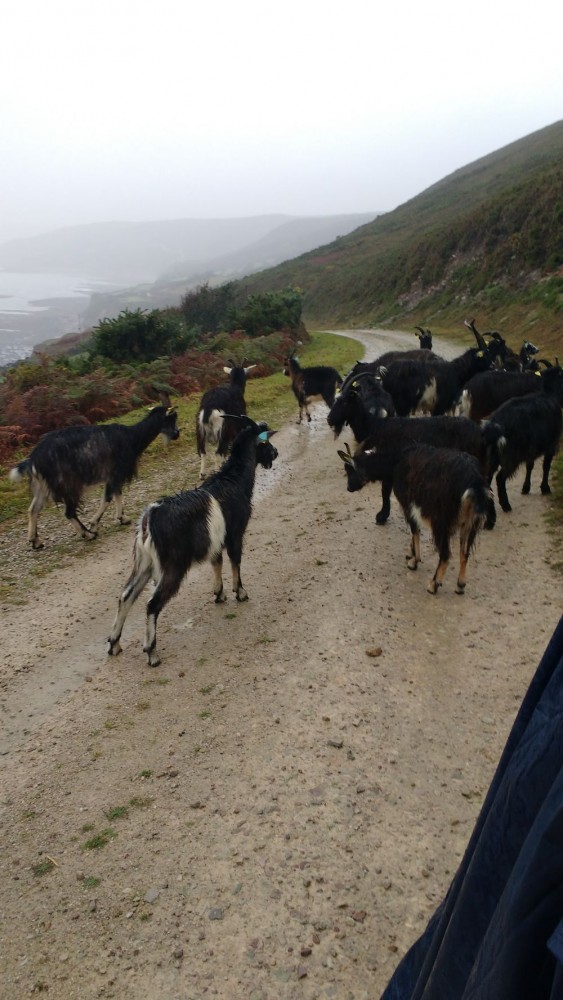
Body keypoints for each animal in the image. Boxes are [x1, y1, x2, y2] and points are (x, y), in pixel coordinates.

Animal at [9, 392, 180, 548]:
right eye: (171, 418)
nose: (177, 434)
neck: (132, 437)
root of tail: (33, 459)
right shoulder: (115, 472)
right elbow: (108, 498)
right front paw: (94, 524)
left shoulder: (114, 474)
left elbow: (117, 494)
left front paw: (122, 518)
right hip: (67, 483)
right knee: (68, 512)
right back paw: (87, 534)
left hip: (41, 486)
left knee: (33, 509)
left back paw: (35, 541)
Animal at [107, 418, 278, 668]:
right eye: (265, 443)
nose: (275, 453)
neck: (235, 481)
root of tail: (150, 519)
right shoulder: (235, 534)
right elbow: (235, 561)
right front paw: (240, 593)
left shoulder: (216, 541)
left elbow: (217, 563)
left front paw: (219, 593)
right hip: (173, 565)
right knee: (152, 604)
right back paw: (152, 653)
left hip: (143, 563)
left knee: (126, 595)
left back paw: (114, 644)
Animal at [340, 442, 494, 588]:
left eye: (350, 469)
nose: (348, 488)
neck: (396, 462)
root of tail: (474, 483)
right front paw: (410, 552)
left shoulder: (408, 503)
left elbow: (415, 530)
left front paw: (414, 561)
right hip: (471, 522)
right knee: (465, 552)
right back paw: (460, 584)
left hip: (442, 520)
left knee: (445, 554)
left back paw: (433, 585)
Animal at [480, 362, 563, 516]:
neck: (550, 395)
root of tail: (495, 426)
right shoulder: (551, 444)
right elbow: (546, 466)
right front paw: (545, 488)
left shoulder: (531, 449)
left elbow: (530, 466)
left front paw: (526, 487)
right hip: (511, 455)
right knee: (500, 478)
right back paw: (506, 505)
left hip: (492, 456)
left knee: (487, 480)